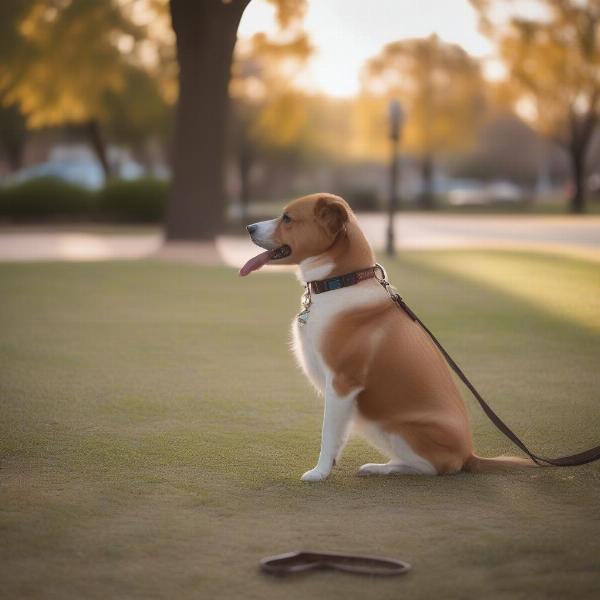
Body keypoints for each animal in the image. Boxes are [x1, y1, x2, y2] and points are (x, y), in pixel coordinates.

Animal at [239, 195, 528, 480]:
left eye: (287, 218)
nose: (249, 228)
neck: (341, 281)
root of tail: (469, 454)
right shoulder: (341, 397)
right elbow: (337, 435)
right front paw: (329, 466)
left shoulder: (342, 384)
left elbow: (327, 433)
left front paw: (319, 472)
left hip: (394, 426)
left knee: (430, 467)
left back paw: (382, 468)